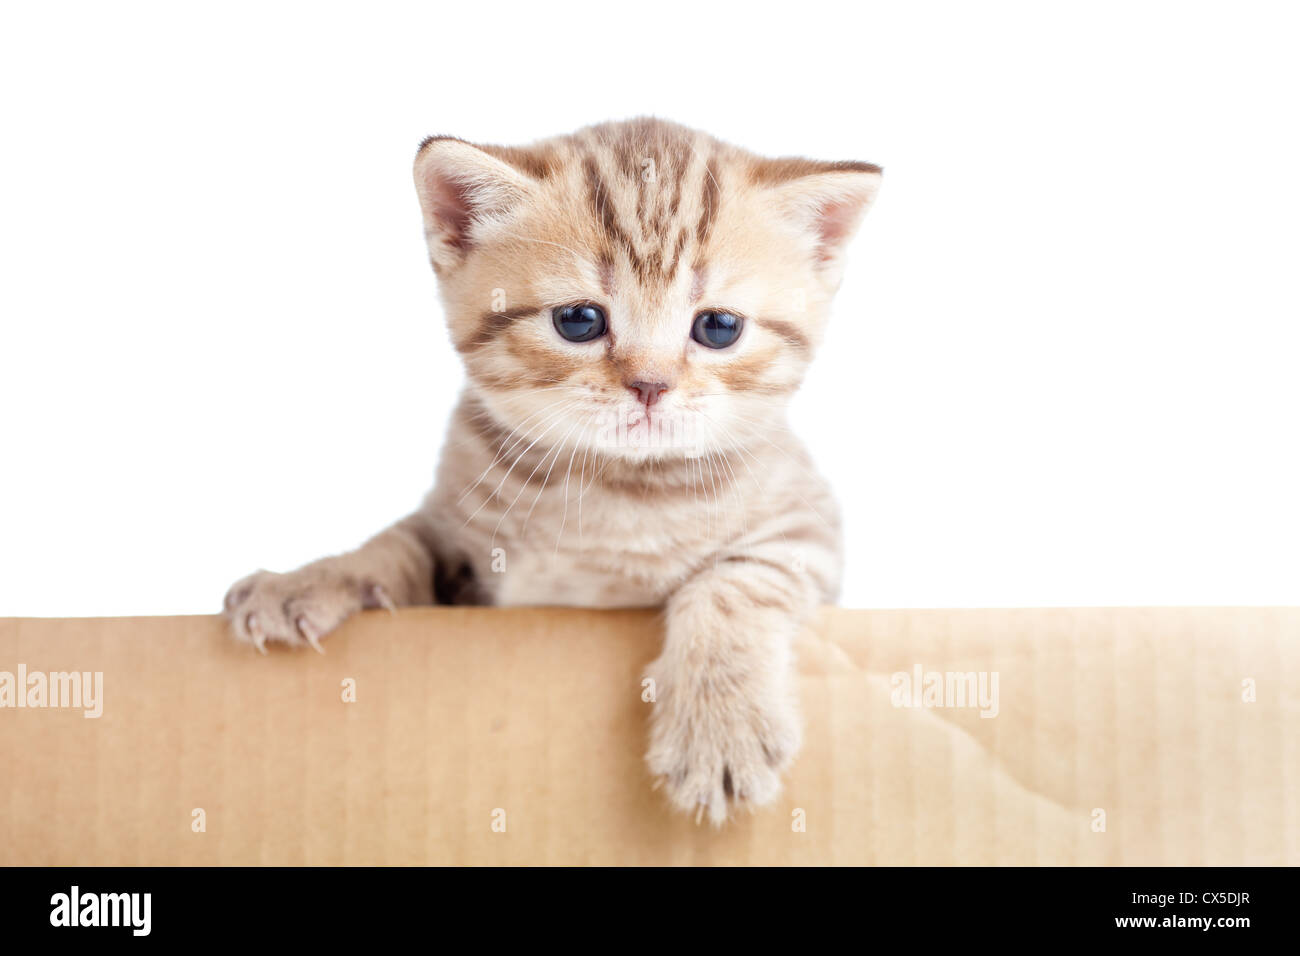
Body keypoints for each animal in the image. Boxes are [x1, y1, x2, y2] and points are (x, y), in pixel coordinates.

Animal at [223, 117, 878, 822]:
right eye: (579, 320)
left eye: (719, 327)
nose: (650, 386)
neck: (607, 485)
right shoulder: (457, 538)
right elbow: (396, 542)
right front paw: (308, 579)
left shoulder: (808, 530)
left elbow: (737, 581)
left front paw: (719, 728)